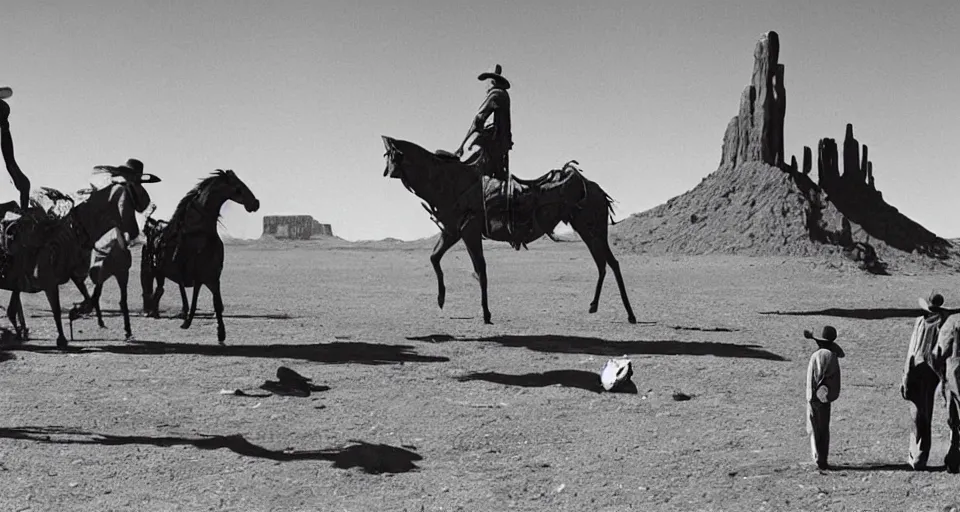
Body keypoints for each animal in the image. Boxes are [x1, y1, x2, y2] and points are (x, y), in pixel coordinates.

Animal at [141, 171, 260, 344]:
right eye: (238, 187)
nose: (255, 203)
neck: (201, 234)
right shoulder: (200, 275)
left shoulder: (212, 277)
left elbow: (216, 303)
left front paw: (220, 334)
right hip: (155, 271)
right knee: (156, 290)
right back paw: (152, 312)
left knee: (161, 290)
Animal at [382, 136, 636, 324]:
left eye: (390, 156)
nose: (386, 172)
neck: (447, 182)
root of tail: (597, 190)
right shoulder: (453, 231)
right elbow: (434, 258)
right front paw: (441, 299)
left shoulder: (468, 231)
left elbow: (480, 269)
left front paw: (486, 314)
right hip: (587, 230)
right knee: (603, 263)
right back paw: (594, 306)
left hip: (592, 229)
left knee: (611, 263)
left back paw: (630, 314)